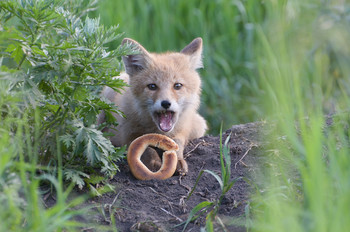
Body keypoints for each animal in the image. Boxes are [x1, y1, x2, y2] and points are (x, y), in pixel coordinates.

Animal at [98, 37, 206, 176]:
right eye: (152, 86)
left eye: (177, 86)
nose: (166, 103)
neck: (156, 131)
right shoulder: (127, 135)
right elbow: (147, 148)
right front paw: (154, 163)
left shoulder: (183, 131)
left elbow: (177, 144)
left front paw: (178, 161)